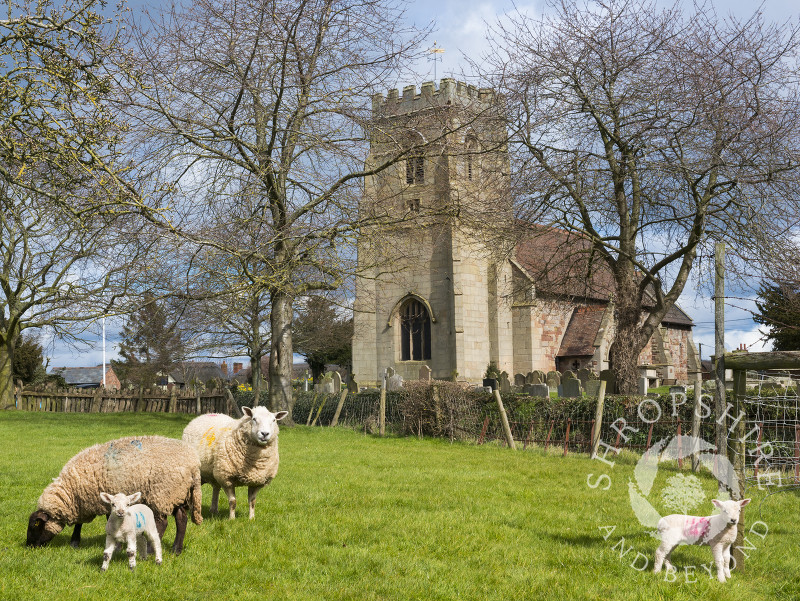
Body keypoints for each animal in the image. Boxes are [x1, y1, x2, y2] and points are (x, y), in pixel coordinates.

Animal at [28, 436, 203, 552]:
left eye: (35, 525)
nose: (28, 546)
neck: (71, 490)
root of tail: (194, 464)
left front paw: (116, 547)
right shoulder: (85, 502)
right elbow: (80, 523)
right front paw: (75, 542)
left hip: (162, 494)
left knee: (163, 523)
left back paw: (151, 549)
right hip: (177, 494)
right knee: (182, 519)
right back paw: (176, 549)